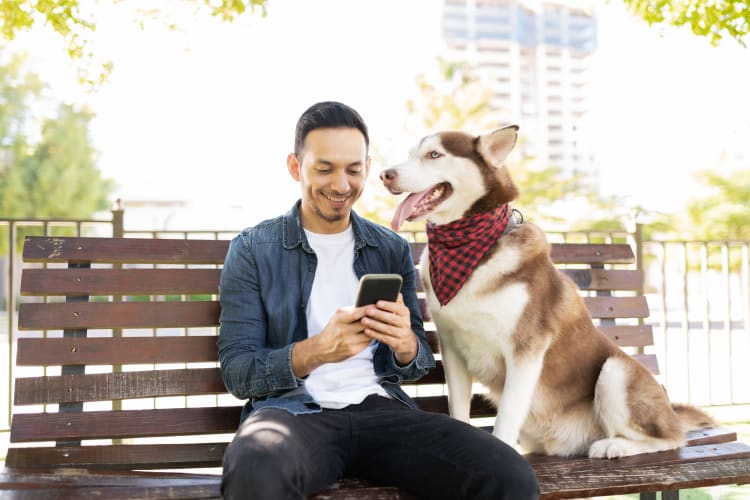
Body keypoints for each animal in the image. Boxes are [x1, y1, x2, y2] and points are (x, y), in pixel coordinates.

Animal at [382, 126, 716, 458]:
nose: (386, 174)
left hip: (615, 371)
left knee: (670, 437)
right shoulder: (453, 348)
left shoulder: (526, 349)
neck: (472, 252)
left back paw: (615, 445)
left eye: (434, 155)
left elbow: (507, 416)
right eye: (411, 154)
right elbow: (459, 410)